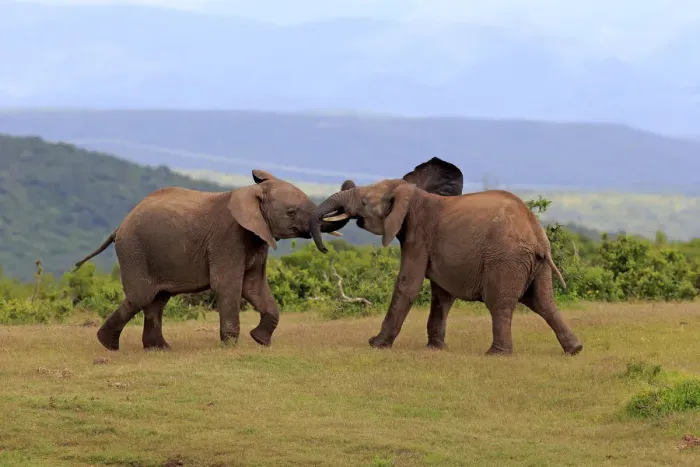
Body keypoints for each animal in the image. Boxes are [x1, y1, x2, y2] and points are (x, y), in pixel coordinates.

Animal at [73, 170, 352, 351]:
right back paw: (107, 344)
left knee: (157, 300)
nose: (325, 250)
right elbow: (228, 285)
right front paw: (230, 346)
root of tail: (118, 227)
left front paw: (260, 340)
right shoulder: (228, 238)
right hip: (135, 250)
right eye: (291, 212)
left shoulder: (256, 238)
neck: (250, 193)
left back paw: (159, 348)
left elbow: (255, 287)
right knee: (141, 296)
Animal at [310, 157, 583, 356]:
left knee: (500, 304)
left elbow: (408, 285)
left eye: (365, 202)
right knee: (544, 302)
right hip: (535, 265)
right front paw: (436, 348)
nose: (324, 250)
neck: (411, 194)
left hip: (506, 260)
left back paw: (496, 354)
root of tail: (537, 235)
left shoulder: (418, 236)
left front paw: (376, 344)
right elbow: (442, 294)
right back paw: (575, 350)